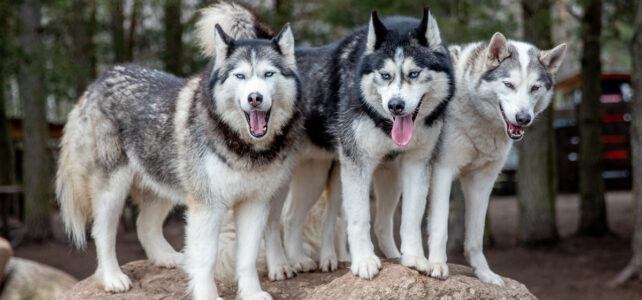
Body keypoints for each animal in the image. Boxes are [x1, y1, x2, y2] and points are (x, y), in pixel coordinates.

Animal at [54, 17, 300, 298]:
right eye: (240, 76)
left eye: (268, 74)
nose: (255, 98)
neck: (242, 146)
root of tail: (99, 80)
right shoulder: (207, 206)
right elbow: (206, 260)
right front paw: (208, 295)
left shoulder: (254, 204)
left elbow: (247, 259)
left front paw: (251, 293)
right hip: (112, 191)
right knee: (101, 232)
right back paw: (112, 278)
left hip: (162, 186)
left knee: (143, 224)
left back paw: (168, 258)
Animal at [201, 3, 456, 282]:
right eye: (385, 75)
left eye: (414, 73)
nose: (395, 106)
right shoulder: (357, 166)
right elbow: (359, 220)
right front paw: (364, 261)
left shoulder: (415, 164)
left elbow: (411, 218)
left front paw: (414, 259)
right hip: (281, 183)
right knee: (273, 223)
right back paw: (280, 266)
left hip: (332, 177)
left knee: (295, 218)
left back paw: (301, 260)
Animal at [420, 33, 564, 286]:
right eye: (509, 85)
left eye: (534, 88)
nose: (523, 118)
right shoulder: (443, 171)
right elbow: (440, 227)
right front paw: (437, 265)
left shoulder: (482, 182)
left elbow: (476, 238)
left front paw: (484, 274)